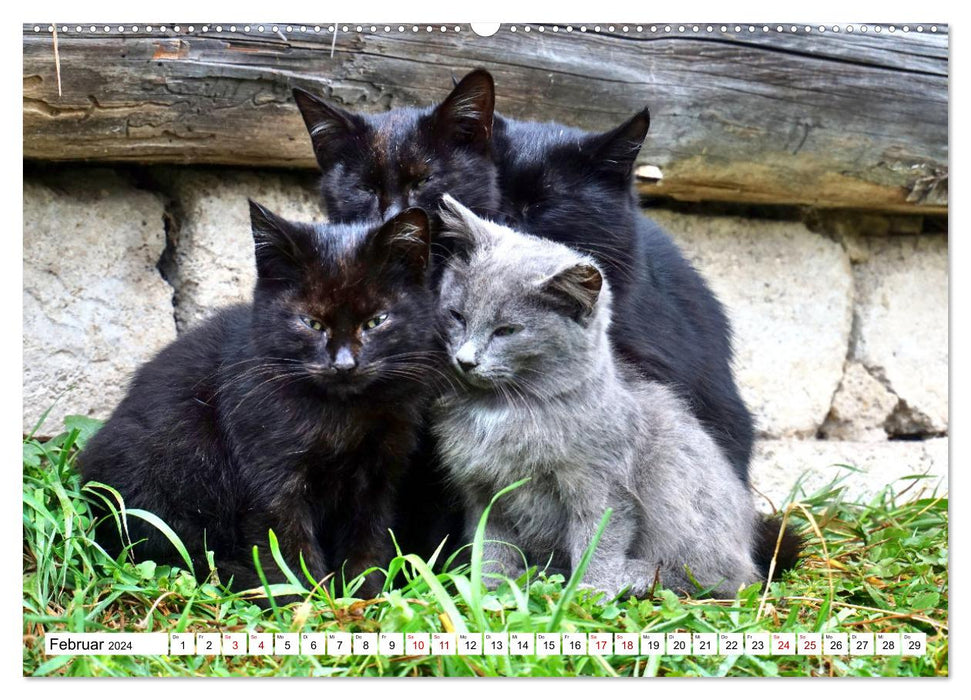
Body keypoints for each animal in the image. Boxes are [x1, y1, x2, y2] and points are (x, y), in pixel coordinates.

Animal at [79, 201, 436, 596]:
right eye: (311, 323)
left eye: (376, 321)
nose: (344, 364)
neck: (342, 416)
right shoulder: (270, 476)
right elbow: (287, 547)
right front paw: (305, 598)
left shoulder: (379, 476)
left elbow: (368, 540)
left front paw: (365, 596)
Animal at [436, 194, 764, 600]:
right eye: (457, 316)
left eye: (506, 331)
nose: (465, 360)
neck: (505, 409)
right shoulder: (484, 490)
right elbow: (491, 544)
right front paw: (489, 590)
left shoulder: (602, 485)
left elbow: (598, 540)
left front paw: (589, 593)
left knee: (721, 580)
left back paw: (637, 575)